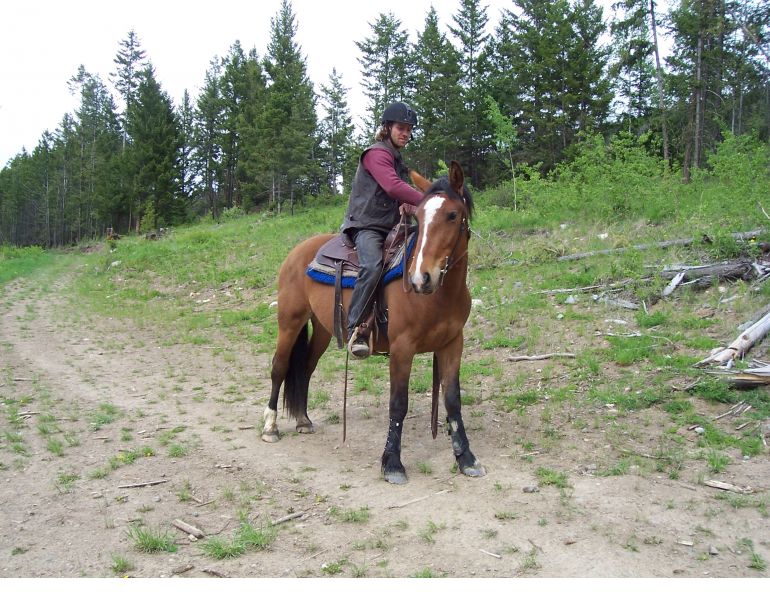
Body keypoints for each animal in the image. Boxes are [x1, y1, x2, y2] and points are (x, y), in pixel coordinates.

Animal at [261, 160, 485, 485]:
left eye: (452, 215)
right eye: (419, 217)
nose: (421, 279)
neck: (440, 296)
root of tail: (298, 252)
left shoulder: (453, 343)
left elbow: (453, 400)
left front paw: (465, 457)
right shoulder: (402, 348)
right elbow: (398, 403)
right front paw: (392, 463)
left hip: (323, 330)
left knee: (305, 368)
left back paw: (303, 420)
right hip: (289, 322)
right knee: (279, 367)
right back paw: (270, 426)